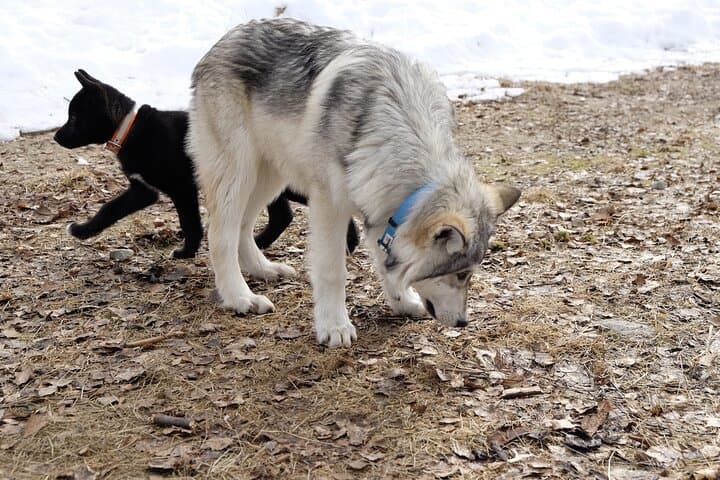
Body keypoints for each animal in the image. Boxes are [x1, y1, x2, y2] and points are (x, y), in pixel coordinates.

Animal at [55, 69, 359, 258]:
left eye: (75, 118)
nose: (57, 137)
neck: (131, 129)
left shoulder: (181, 187)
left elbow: (190, 221)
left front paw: (186, 252)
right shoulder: (142, 189)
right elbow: (109, 209)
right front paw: (82, 230)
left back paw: (349, 241)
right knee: (282, 216)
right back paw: (259, 243)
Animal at [188, 19, 520, 347]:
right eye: (462, 275)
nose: (464, 322)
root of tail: (225, 38)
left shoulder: (383, 212)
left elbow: (389, 266)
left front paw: (403, 303)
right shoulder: (331, 207)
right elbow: (334, 271)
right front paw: (334, 327)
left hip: (270, 179)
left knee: (243, 227)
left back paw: (264, 269)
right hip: (239, 174)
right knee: (220, 234)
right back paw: (241, 298)